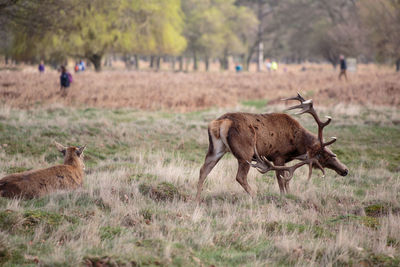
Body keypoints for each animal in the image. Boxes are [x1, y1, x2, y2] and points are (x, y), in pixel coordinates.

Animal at [196, 92, 346, 201]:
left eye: (332, 152)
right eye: (324, 155)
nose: (345, 170)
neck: (297, 144)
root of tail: (221, 122)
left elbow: (285, 179)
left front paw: (289, 195)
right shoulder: (278, 155)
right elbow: (281, 179)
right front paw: (284, 196)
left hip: (216, 149)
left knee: (204, 170)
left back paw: (197, 199)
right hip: (245, 152)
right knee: (240, 176)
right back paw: (255, 196)